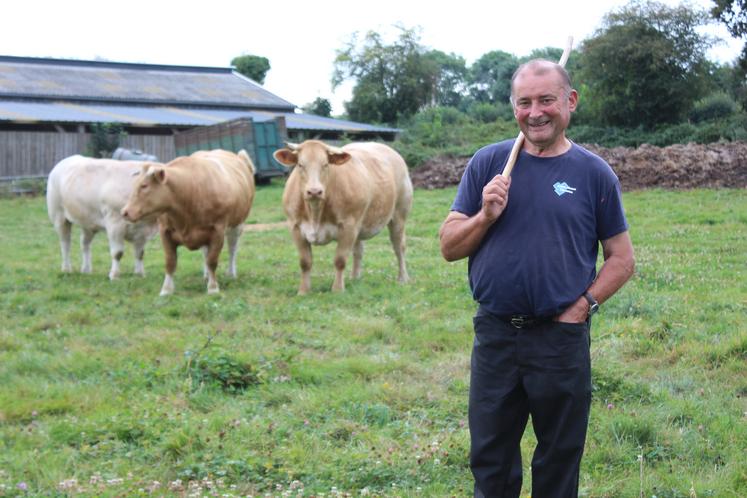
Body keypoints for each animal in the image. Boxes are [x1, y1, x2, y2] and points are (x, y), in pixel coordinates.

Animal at [120, 150, 254, 294]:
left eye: (144, 186)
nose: (124, 212)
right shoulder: (165, 232)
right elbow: (170, 262)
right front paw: (166, 290)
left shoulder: (217, 231)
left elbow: (212, 260)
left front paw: (213, 287)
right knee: (206, 252)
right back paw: (206, 275)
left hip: (237, 225)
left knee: (232, 249)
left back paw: (231, 273)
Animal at [274, 140, 414, 294]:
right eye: (300, 165)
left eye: (326, 164)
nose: (314, 191)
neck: (315, 212)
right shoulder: (295, 228)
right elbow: (305, 262)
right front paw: (303, 291)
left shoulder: (348, 227)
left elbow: (340, 260)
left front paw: (337, 289)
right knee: (358, 251)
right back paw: (355, 278)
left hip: (399, 215)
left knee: (399, 246)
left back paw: (403, 278)